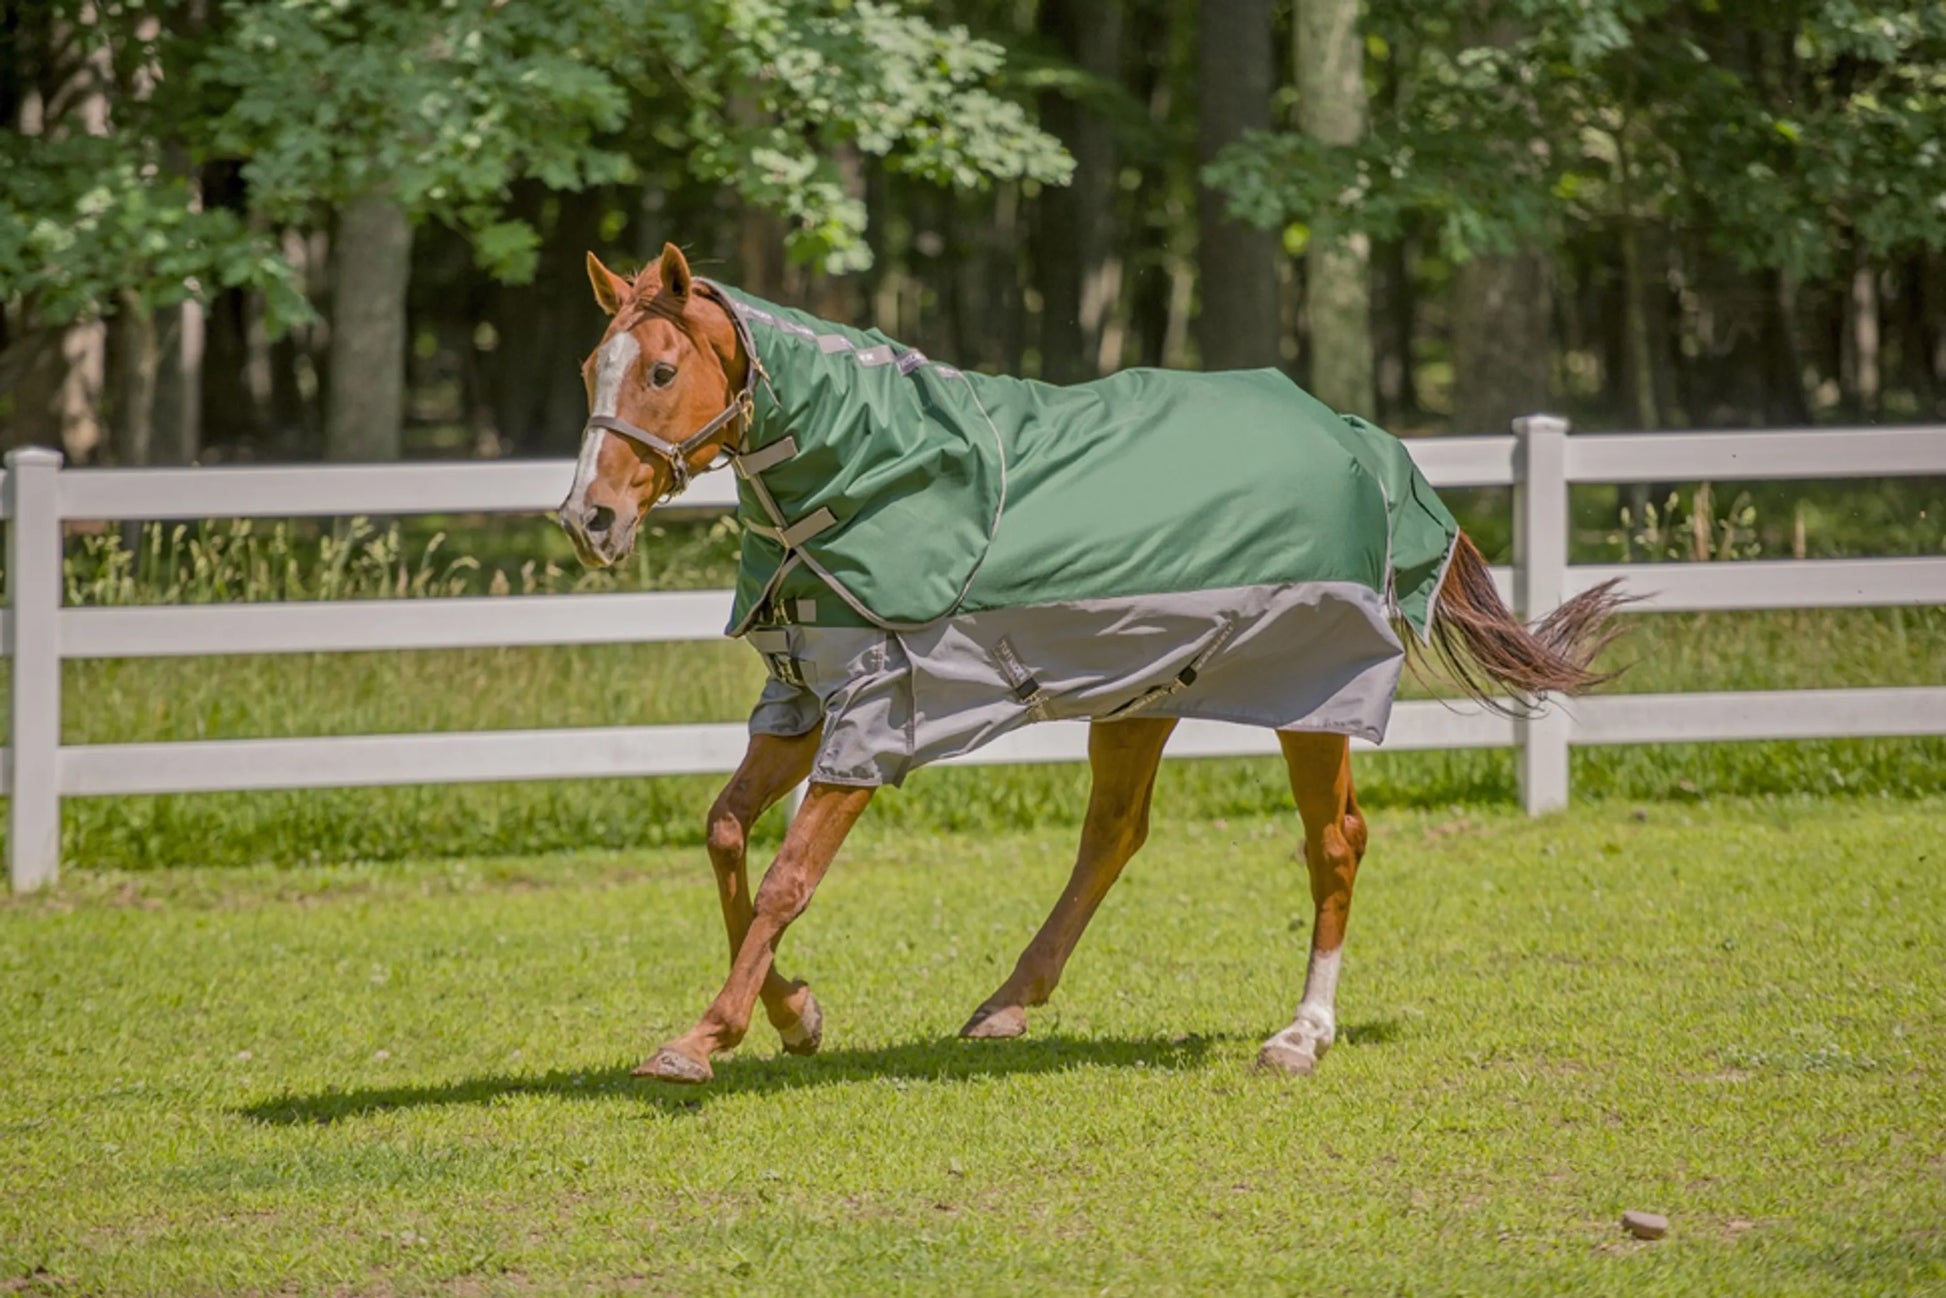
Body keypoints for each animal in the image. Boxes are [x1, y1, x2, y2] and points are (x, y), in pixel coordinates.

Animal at [557, 242, 1624, 1085]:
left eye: (660, 372)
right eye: (590, 367)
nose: (587, 519)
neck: (860, 476)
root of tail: (1363, 439)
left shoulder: (879, 713)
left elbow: (786, 878)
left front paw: (704, 1037)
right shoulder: (802, 700)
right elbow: (726, 832)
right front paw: (796, 1014)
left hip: (1312, 691)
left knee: (1335, 842)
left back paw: (1300, 1036)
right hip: (1146, 689)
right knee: (1114, 834)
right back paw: (1007, 1003)